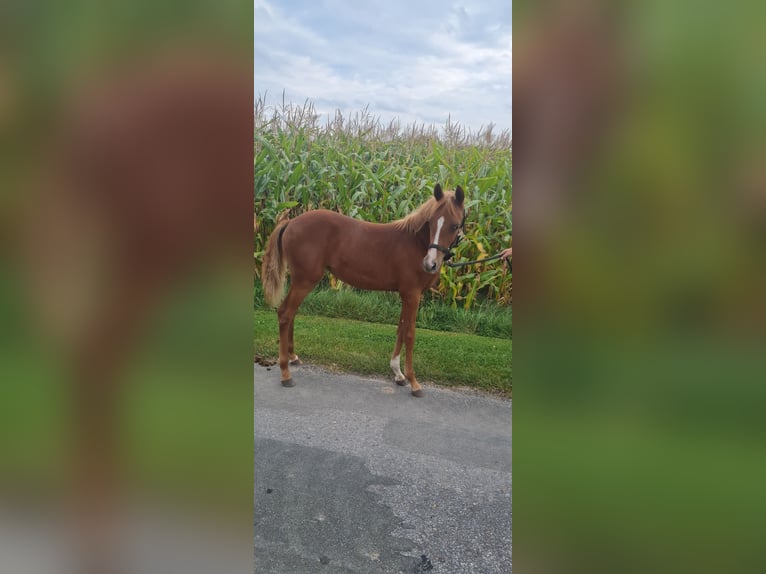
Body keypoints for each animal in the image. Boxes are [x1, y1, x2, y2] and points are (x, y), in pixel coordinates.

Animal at [264, 184, 464, 396]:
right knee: (285, 313)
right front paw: (414, 382)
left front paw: (398, 374)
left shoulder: (406, 294)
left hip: (299, 281)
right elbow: (410, 334)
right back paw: (285, 373)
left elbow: (401, 328)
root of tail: (290, 222)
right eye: (432, 222)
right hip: (305, 281)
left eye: (454, 225)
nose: (430, 264)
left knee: (291, 313)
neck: (415, 242)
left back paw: (293, 357)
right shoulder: (412, 294)